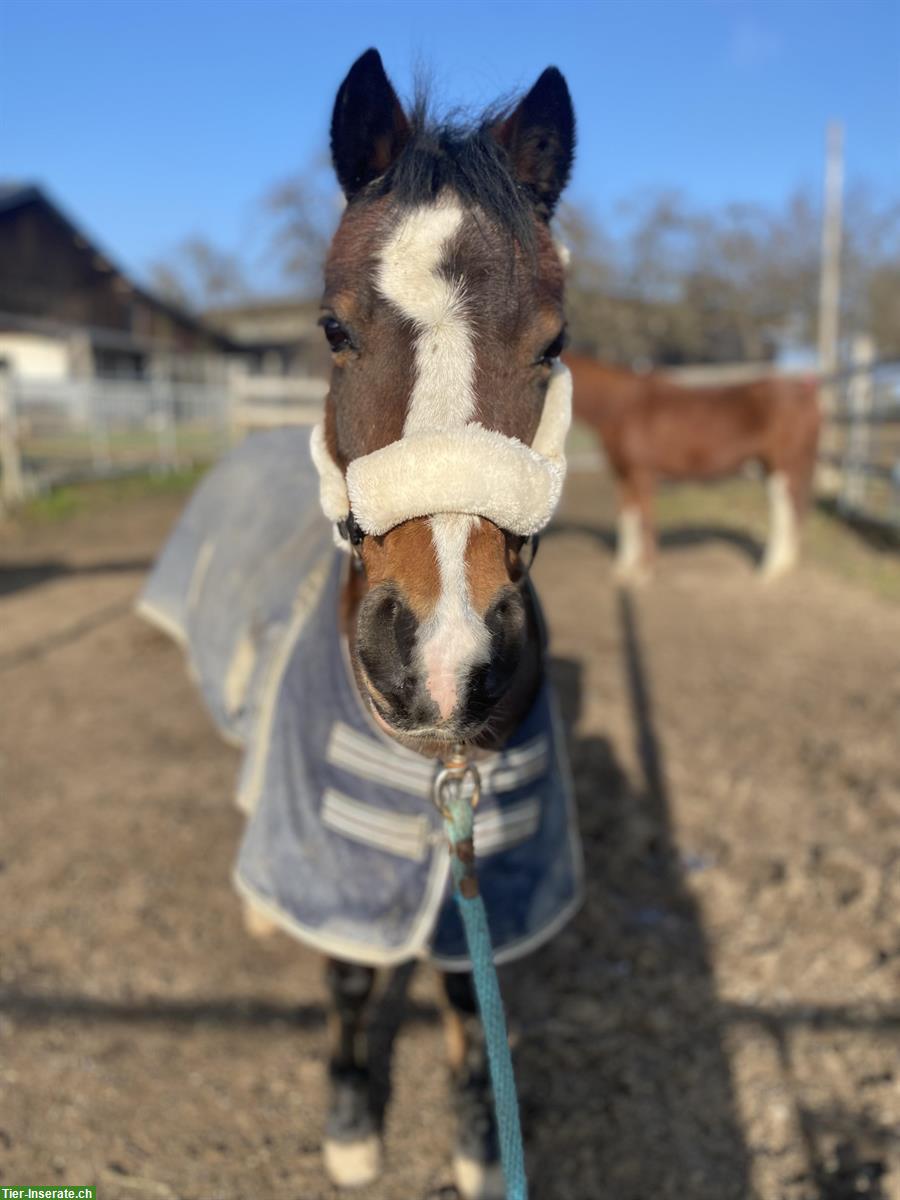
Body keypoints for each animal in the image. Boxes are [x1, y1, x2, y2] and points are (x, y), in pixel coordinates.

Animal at [571, 352, 825, 578]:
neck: (621, 405)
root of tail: (805, 394)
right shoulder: (622, 474)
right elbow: (627, 518)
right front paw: (623, 569)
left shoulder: (642, 473)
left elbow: (645, 519)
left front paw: (644, 572)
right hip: (770, 467)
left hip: (782, 465)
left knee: (783, 510)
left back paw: (771, 569)